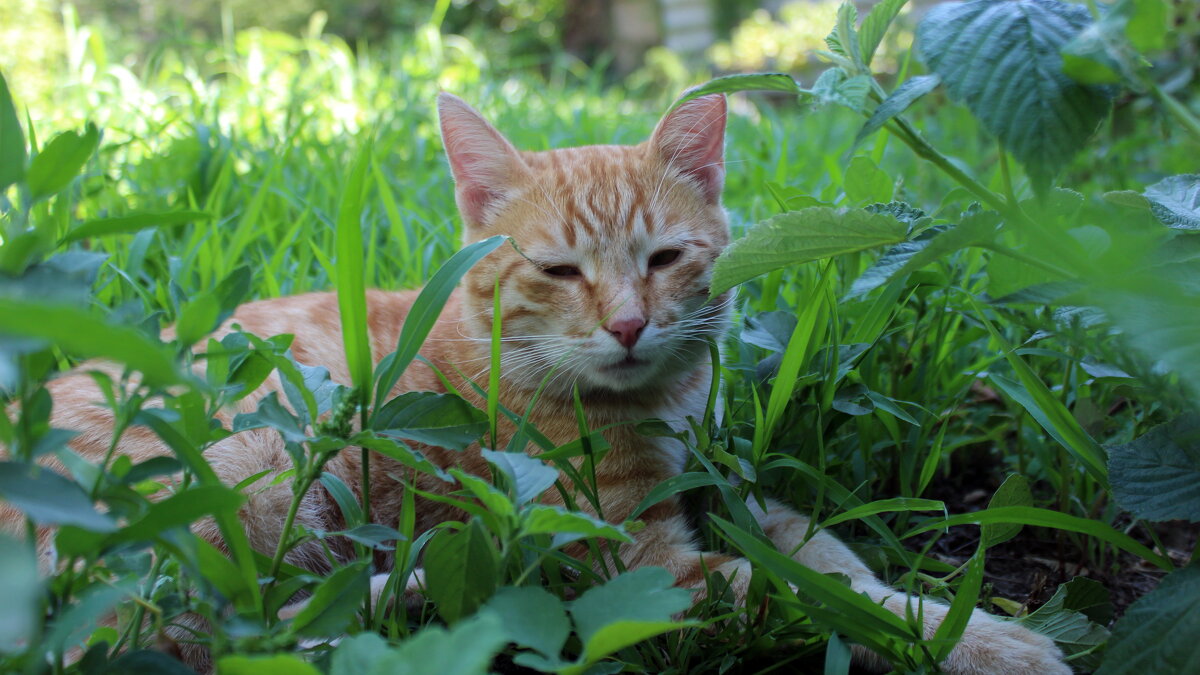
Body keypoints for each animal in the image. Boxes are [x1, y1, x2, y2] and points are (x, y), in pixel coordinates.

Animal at [2, 91, 1070, 667]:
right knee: (214, 633)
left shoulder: (728, 492)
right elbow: (809, 595)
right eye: (559, 271)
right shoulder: (649, 563)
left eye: (666, 257)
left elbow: (828, 555)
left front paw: (937, 597)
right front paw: (975, 639)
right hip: (254, 462)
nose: (629, 324)